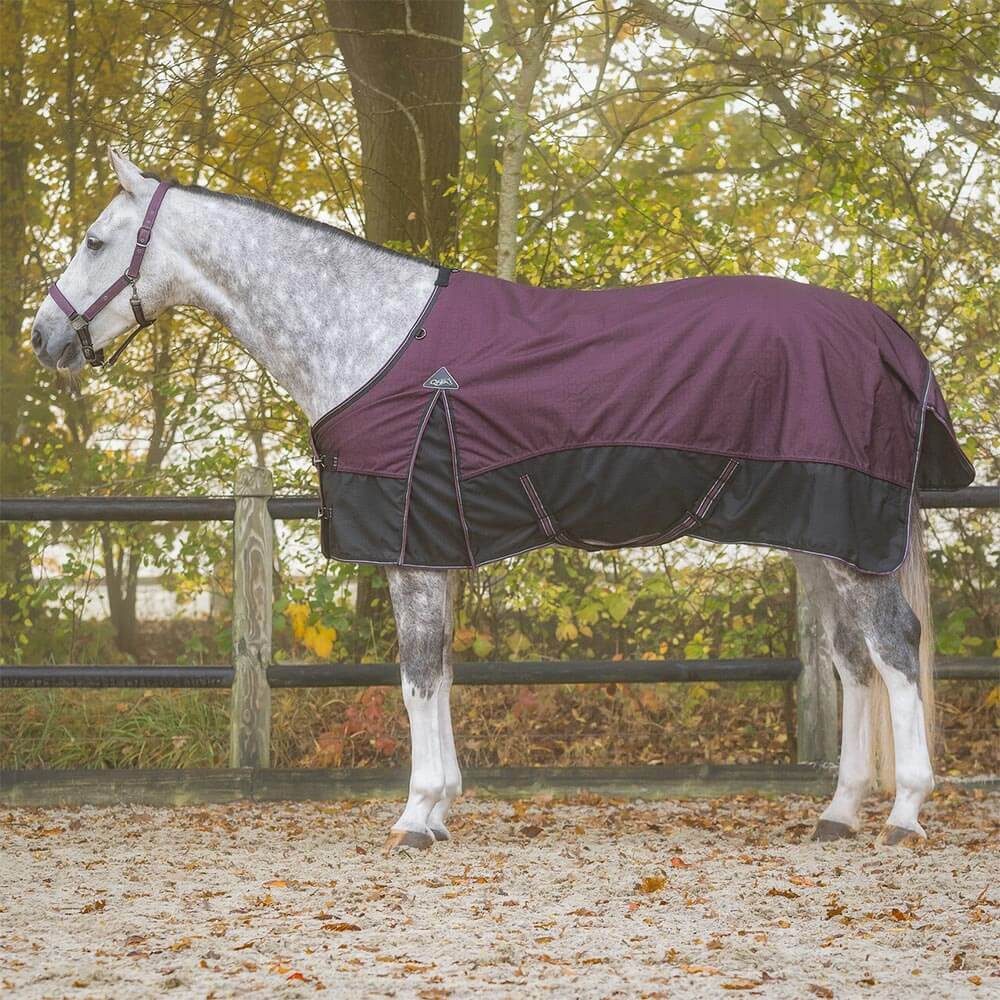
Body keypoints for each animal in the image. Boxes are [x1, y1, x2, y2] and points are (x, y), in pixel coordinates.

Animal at [30, 147, 974, 849]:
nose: (42, 338)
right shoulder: (433, 544)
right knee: (853, 663)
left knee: (894, 649)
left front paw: (415, 817)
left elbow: (414, 674)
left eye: (95, 240)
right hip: (819, 536)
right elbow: (440, 669)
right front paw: (444, 803)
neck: (374, 336)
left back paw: (903, 813)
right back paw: (838, 813)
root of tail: (887, 334)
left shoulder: (409, 544)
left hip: (852, 537)